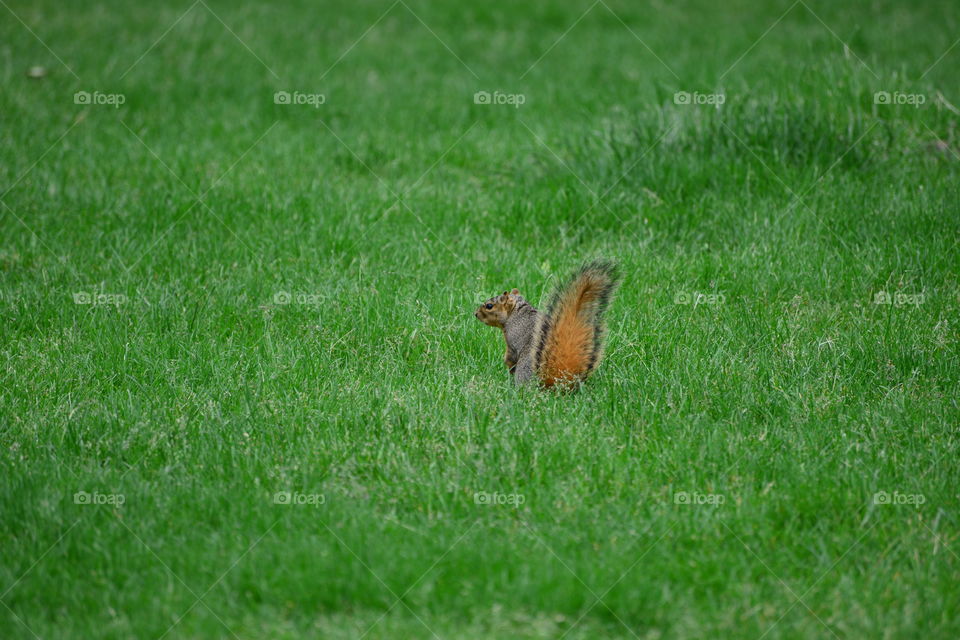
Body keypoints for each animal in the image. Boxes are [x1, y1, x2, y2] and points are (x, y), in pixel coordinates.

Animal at [474, 260, 621, 389]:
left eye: (489, 306)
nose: (475, 313)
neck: (516, 313)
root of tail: (556, 382)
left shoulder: (513, 337)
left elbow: (511, 355)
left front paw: (507, 364)